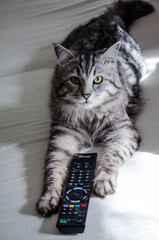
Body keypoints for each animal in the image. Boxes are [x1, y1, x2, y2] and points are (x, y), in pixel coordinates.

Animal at [36, 0, 154, 217]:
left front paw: (102, 181)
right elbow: (53, 170)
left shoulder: (124, 132)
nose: (86, 95)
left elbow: (111, 157)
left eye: (97, 79)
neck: (88, 116)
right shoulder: (62, 138)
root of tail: (108, 18)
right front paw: (48, 199)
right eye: (74, 80)